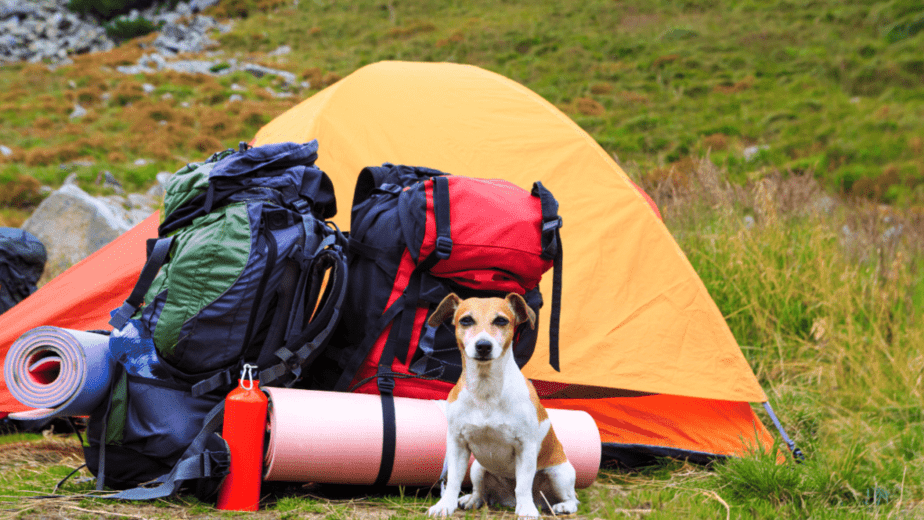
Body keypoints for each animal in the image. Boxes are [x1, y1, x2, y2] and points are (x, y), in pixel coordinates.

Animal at [426, 294, 576, 516]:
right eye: (466, 320)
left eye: (501, 321)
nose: (483, 345)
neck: (485, 388)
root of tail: (507, 499)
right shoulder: (457, 443)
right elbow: (453, 480)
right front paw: (444, 505)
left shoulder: (525, 447)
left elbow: (523, 485)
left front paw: (526, 510)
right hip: (477, 469)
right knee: (481, 492)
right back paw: (472, 499)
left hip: (560, 474)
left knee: (572, 498)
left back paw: (561, 506)